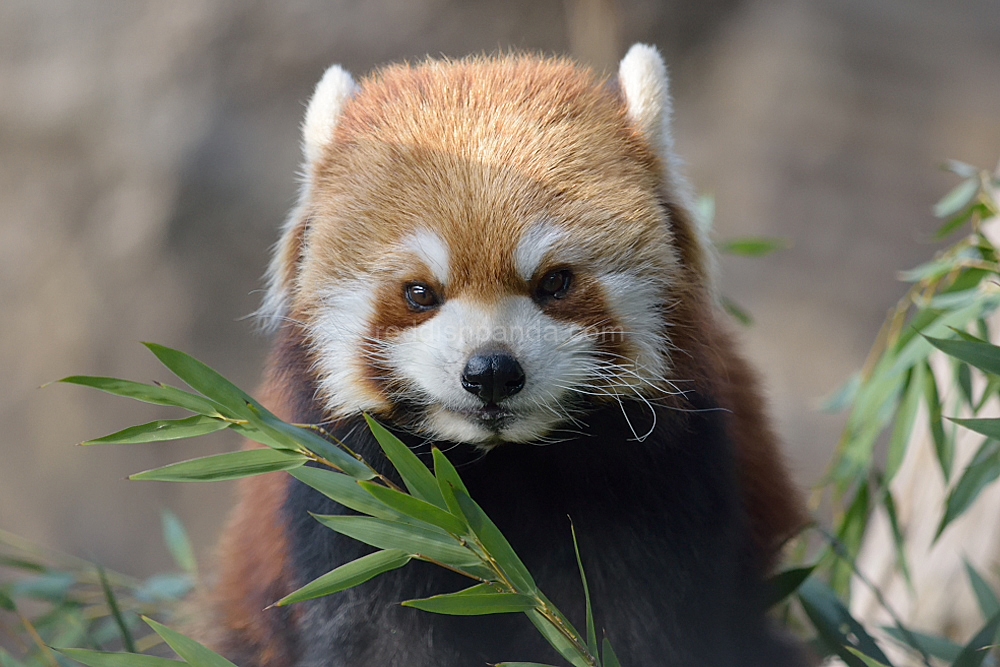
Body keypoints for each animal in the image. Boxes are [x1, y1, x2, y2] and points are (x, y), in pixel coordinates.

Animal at [207, 45, 808, 667]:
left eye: (555, 282)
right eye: (419, 293)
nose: (492, 372)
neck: (502, 464)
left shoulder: (660, 483)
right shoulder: (363, 502)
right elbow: (377, 630)